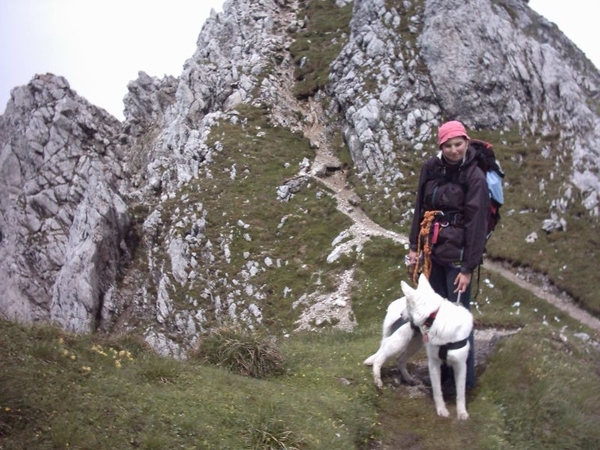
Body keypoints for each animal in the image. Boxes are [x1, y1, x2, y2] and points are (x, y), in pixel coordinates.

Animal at [400, 272, 476, 420]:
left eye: (406, 303)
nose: (400, 315)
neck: (434, 317)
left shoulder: (460, 365)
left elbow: (460, 393)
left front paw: (461, 412)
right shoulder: (433, 362)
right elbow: (437, 390)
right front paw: (441, 409)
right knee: (398, 358)